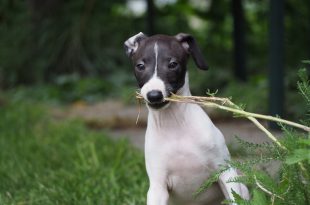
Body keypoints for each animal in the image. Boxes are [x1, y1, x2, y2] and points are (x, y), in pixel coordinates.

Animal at [124, 32, 248, 204]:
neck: (174, 124)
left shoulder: (226, 172)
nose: (154, 95)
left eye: (173, 64)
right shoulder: (157, 186)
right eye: (140, 66)